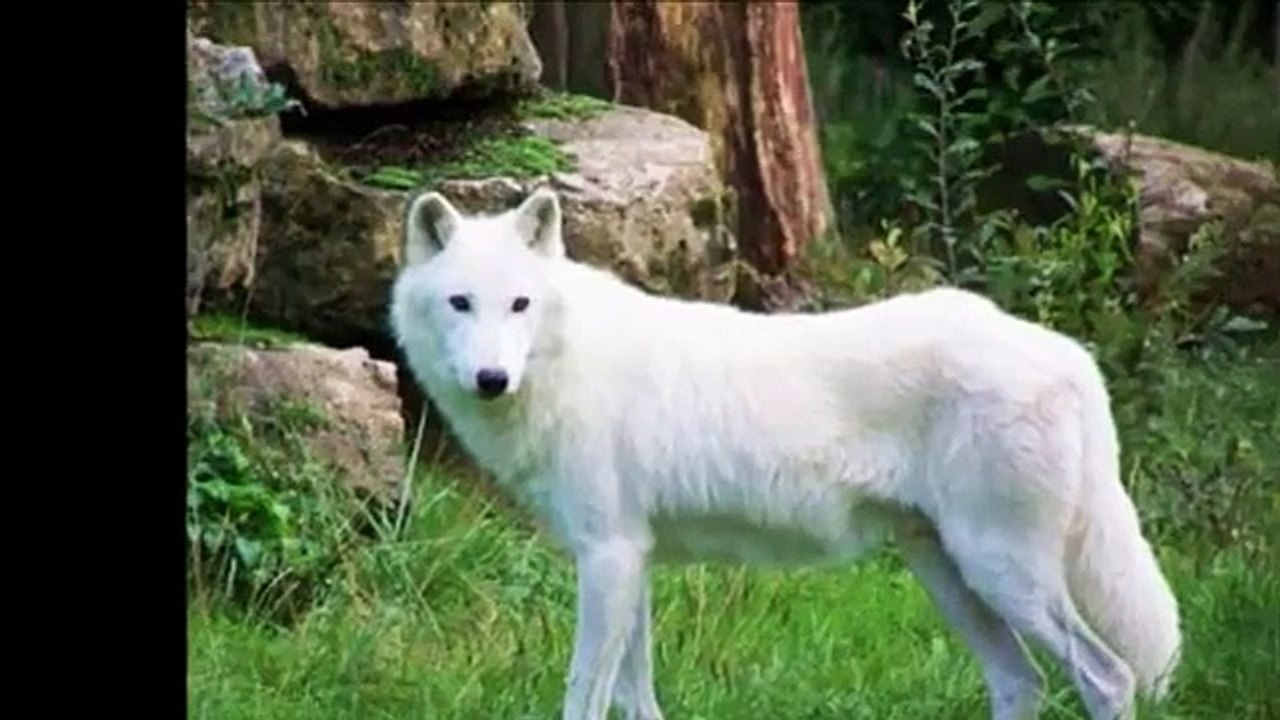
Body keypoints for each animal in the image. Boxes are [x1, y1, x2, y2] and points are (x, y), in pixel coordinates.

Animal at [388, 187, 1181, 720]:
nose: (492, 379)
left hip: (1001, 571)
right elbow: (637, 700)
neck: (566, 360)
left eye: (519, 305)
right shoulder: (630, 560)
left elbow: (585, 697)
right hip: (952, 575)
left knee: (1108, 678)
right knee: (1023, 683)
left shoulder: (609, 558)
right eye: (460, 303)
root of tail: (1071, 355)